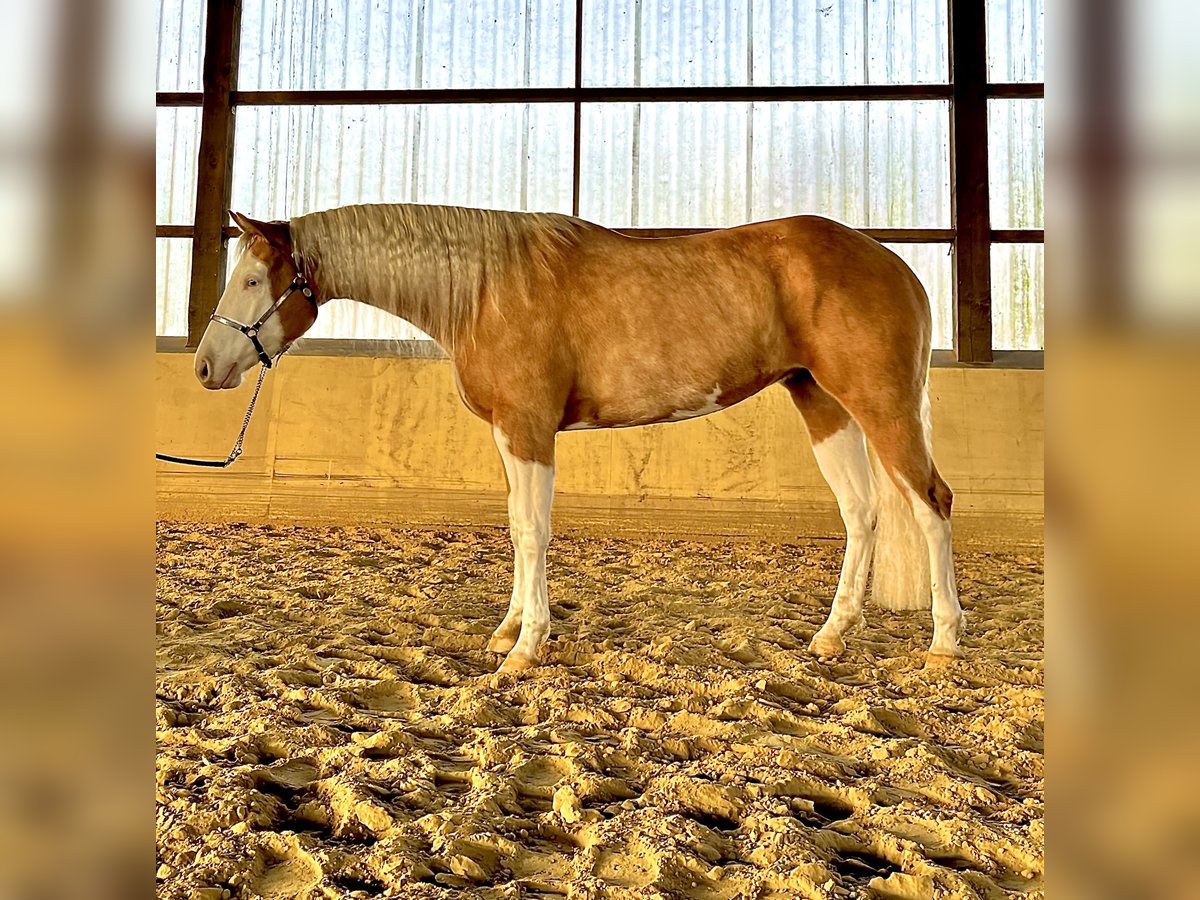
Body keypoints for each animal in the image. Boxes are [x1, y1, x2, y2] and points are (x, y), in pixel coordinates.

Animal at [196, 202, 964, 672]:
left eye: (254, 279)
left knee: (931, 503)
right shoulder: (512, 434)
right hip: (821, 401)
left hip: (880, 404)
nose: (205, 367)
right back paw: (832, 636)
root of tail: (893, 263)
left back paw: (945, 642)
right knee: (862, 512)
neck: (486, 289)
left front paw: (527, 648)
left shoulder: (530, 429)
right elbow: (516, 525)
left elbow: (533, 530)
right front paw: (507, 631)